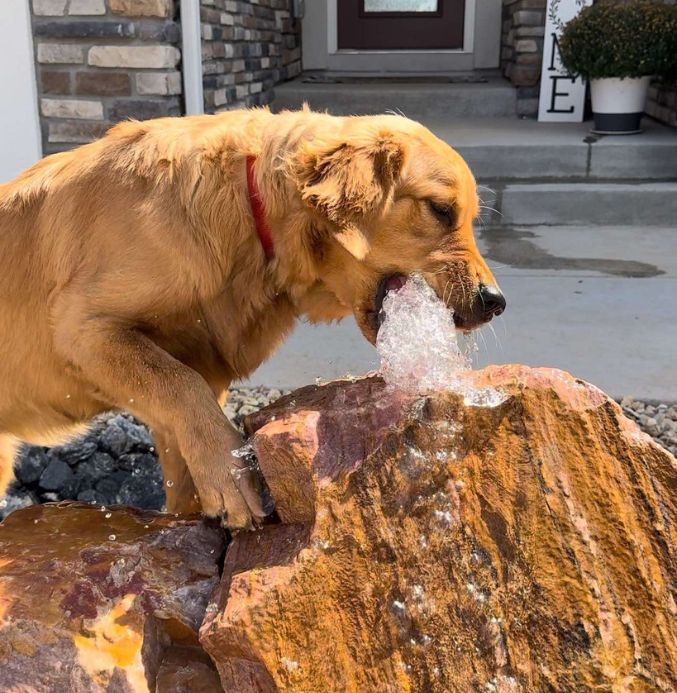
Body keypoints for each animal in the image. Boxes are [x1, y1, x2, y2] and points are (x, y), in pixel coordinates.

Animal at [0, 108, 502, 528]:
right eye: (441, 210)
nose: (496, 301)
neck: (249, 212)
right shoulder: (83, 329)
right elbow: (182, 385)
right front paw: (231, 477)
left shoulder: (196, 380)